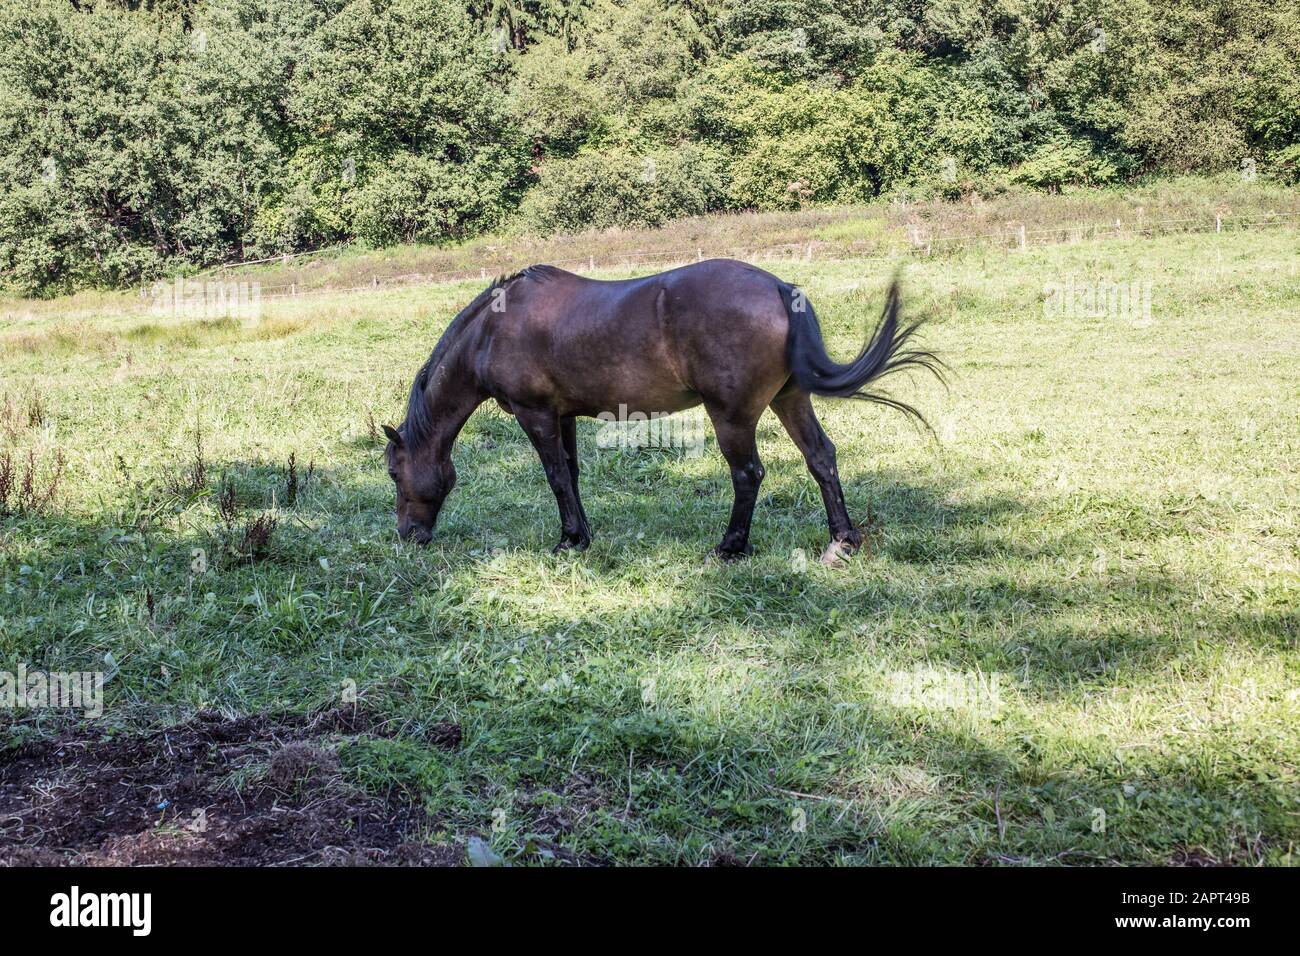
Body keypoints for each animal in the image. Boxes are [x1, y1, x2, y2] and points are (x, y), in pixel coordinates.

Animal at [379, 257, 941, 564]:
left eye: (393, 472)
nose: (407, 537)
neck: (493, 330)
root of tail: (780, 289)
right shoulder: (562, 415)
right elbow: (572, 475)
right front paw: (581, 536)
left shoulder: (533, 414)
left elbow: (556, 477)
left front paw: (567, 541)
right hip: (790, 399)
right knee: (821, 458)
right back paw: (841, 541)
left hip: (732, 415)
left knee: (748, 474)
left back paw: (729, 547)